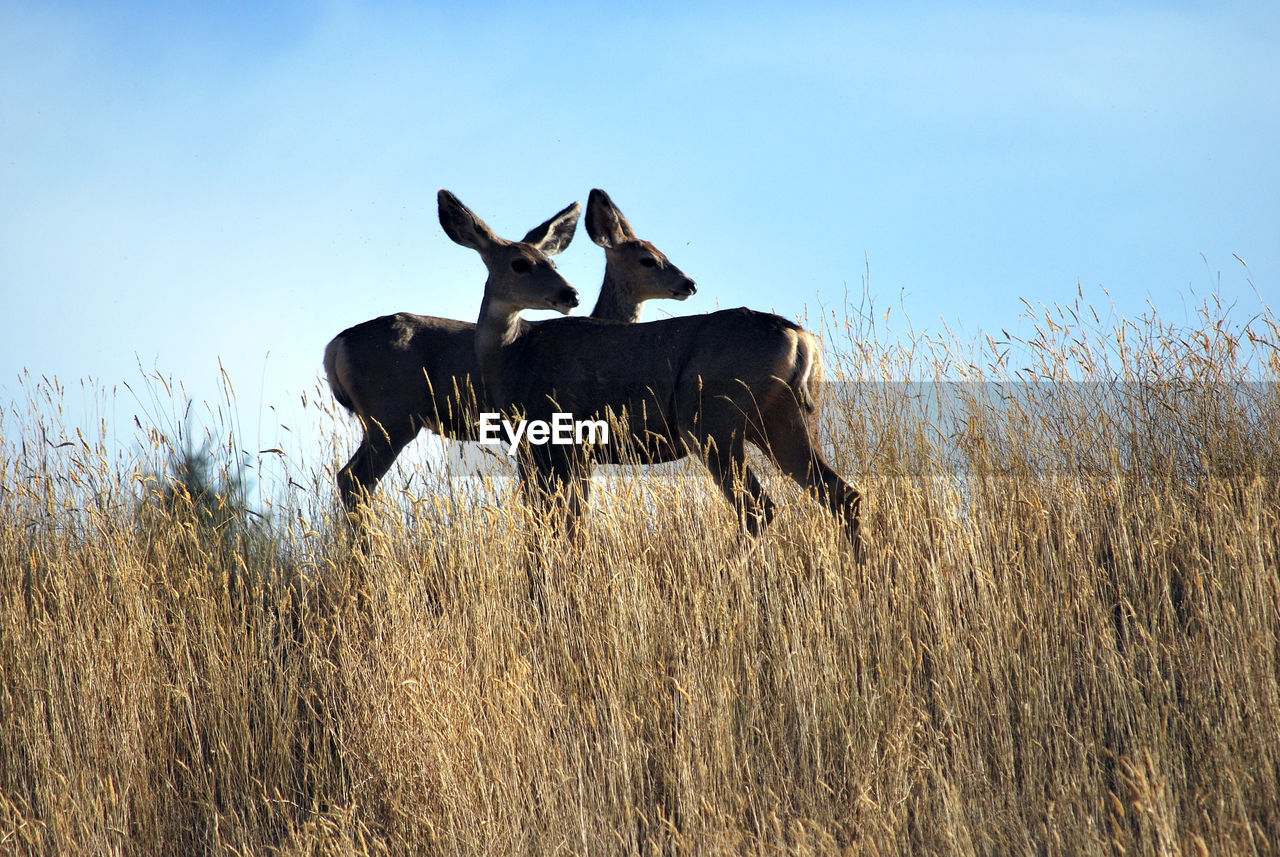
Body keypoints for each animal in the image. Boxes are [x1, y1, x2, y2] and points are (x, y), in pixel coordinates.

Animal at [322, 191, 701, 514]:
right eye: (648, 260)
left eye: (554, 264)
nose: (689, 283)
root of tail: (335, 345)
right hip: (392, 415)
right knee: (356, 479)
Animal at [435, 189, 865, 555]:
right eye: (521, 263)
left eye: (552, 262)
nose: (569, 294)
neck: (513, 353)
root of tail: (800, 338)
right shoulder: (575, 452)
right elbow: (571, 523)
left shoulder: (546, 439)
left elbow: (550, 525)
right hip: (784, 417)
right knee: (843, 493)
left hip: (710, 418)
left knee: (758, 505)